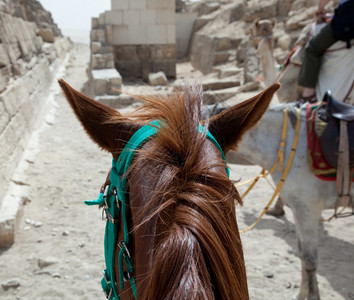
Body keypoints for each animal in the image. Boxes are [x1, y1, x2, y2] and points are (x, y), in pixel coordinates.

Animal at [234, 101, 352, 300]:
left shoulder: (308, 211)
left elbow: (310, 260)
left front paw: (313, 296)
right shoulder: (298, 210)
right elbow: (302, 254)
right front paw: (301, 294)